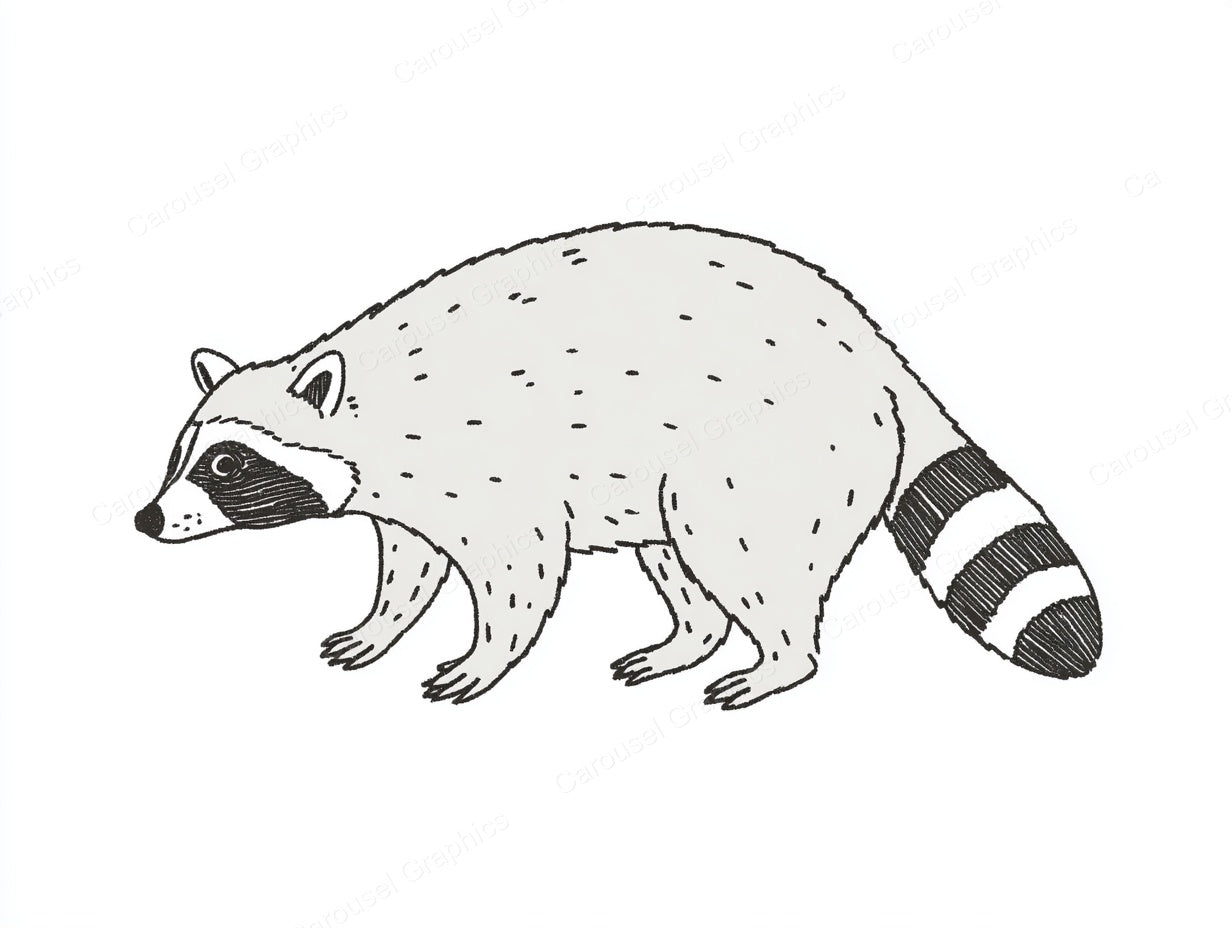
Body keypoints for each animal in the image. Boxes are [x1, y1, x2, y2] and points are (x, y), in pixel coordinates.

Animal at [136, 222, 1101, 709]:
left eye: (226, 464)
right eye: (181, 454)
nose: (148, 519)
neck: (370, 407)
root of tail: (872, 345)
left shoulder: (487, 467)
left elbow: (517, 576)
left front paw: (484, 656)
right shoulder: (400, 491)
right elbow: (409, 562)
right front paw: (381, 622)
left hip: (766, 448)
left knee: (747, 559)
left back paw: (778, 659)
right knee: (682, 561)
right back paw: (690, 638)